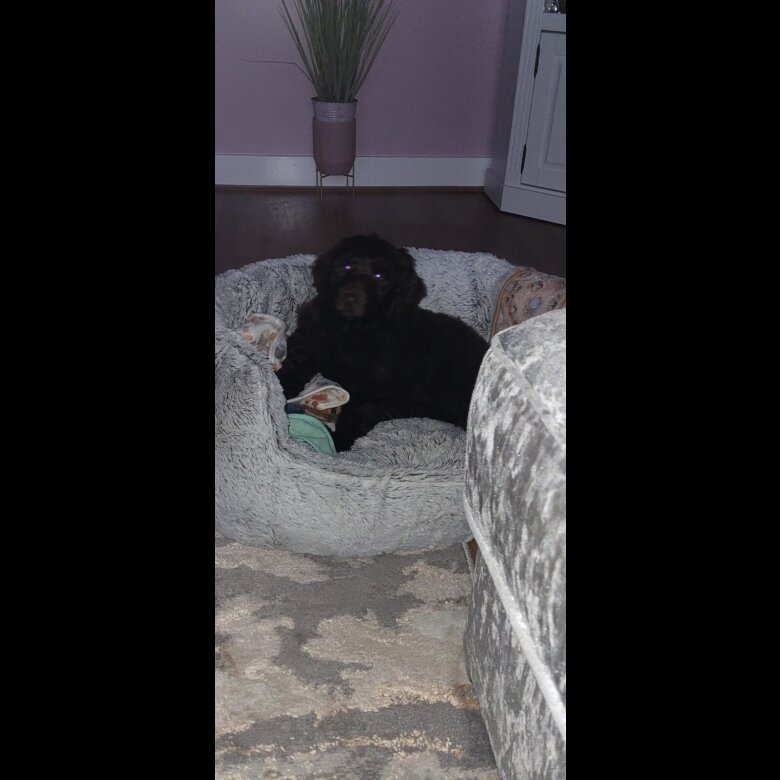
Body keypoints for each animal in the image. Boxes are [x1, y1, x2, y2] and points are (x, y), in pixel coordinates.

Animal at [277, 235, 489, 452]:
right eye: (344, 267)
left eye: (379, 276)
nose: (350, 297)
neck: (350, 329)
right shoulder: (306, 341)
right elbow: (291, 369)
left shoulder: (375, 385)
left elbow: (357, 413)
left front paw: (336, 442)